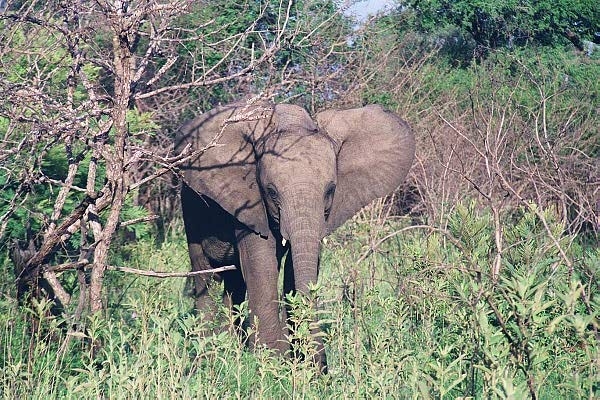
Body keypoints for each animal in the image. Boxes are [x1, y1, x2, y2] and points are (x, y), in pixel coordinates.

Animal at [176, 101, 414, 370]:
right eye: (271, 192)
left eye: (330, 190)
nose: (323, 368)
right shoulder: (248, 201)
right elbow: (262, 266)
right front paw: (272, 363)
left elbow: (296, 266)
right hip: (190, 208)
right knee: (206, 276)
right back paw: (210, 358)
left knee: (234, 283)